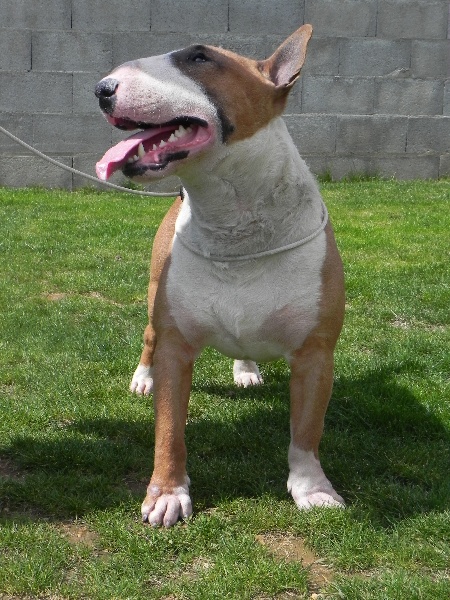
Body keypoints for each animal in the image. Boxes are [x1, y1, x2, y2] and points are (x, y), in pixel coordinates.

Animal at [95, 24, 345, 527]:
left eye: (199, 57)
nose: (102, 89)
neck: (233, 224)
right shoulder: (175, 346)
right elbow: (169, 429)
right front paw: (167, 494)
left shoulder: (316, 353)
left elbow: (307, 432)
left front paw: (313, 490)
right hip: (154, 297)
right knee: (148, 337)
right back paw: (142, 377)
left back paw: (245, 369)